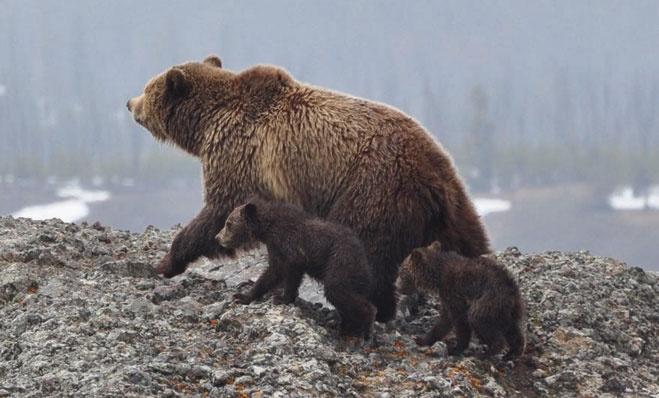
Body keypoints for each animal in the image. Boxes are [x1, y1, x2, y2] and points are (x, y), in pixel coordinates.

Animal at [127, 54, 490, 322]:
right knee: (471, 244)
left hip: (372, 190)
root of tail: (434, 177)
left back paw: (369, 308)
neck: (206, 124)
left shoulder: (239, 155)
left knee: (367, 252)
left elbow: (218, 211)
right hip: (455, 205)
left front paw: (167, 261)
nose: (129, 102)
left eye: (148, 87)